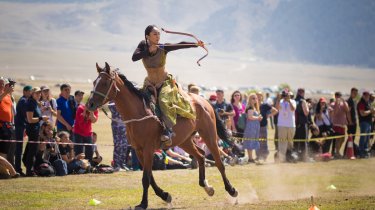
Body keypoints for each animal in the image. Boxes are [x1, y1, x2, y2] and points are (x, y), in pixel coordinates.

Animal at [87, 62, 238, 208]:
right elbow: (150, 177)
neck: (138, 114)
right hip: (184, 141)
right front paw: (165, 195)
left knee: (219, 162)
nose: (90, 104)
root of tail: (204, 102)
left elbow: (146, 178)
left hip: (209, 134)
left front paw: (143, 203)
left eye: (105, 83)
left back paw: (231, 190)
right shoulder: (139, 150)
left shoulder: (148, 149)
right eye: (94, 82)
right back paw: (207, 187)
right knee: (201, 155)